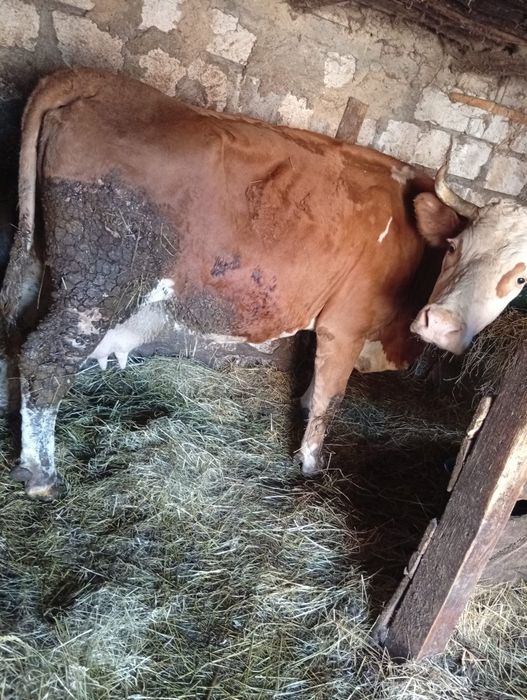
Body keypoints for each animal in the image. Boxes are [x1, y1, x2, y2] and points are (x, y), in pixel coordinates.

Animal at [1, 68, 526, 500]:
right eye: (455, 246)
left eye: (520, 277)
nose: (441, 324)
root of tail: (96, 80)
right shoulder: (346, 325)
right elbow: (330, 398)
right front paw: (310, 465)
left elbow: (313, 388)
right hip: (98, 279)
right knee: (45, 357)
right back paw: (42, 476)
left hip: (39, 262)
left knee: (16, 336)